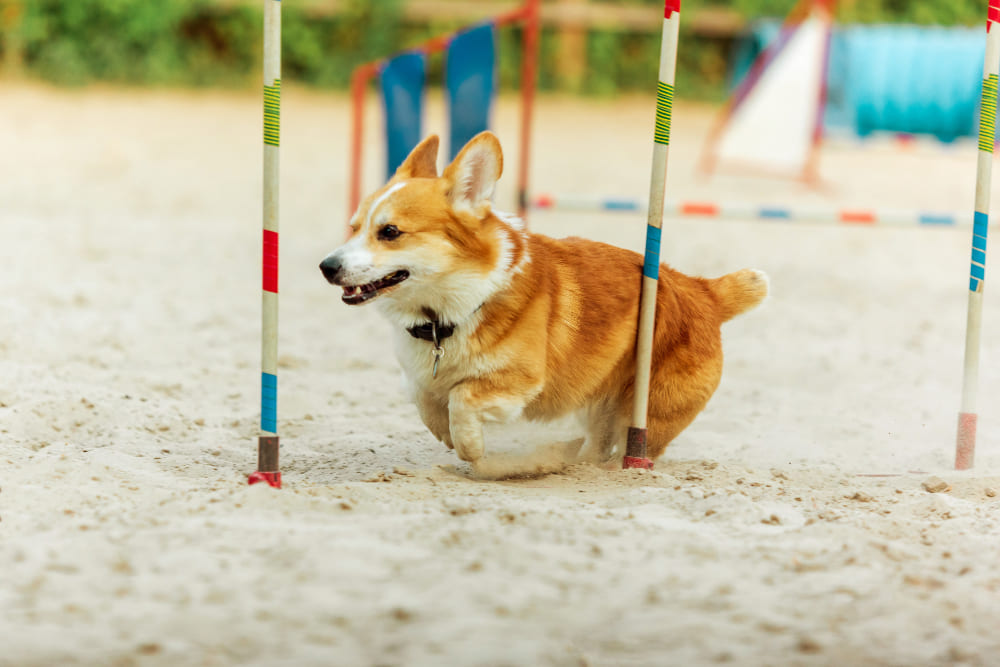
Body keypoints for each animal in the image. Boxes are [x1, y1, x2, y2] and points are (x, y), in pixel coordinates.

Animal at [320, 133, 764, 468]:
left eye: (390, 232)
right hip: (600, 406)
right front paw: (443, 432)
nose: (327, 267)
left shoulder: (518, 381)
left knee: (626, 449)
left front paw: (470, 448)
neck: (448, 314)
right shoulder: (417, 375)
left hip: (644, 414)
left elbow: (462, 400)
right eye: (354, 227)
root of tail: (704, 290)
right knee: (596, 446)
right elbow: (423, 397)